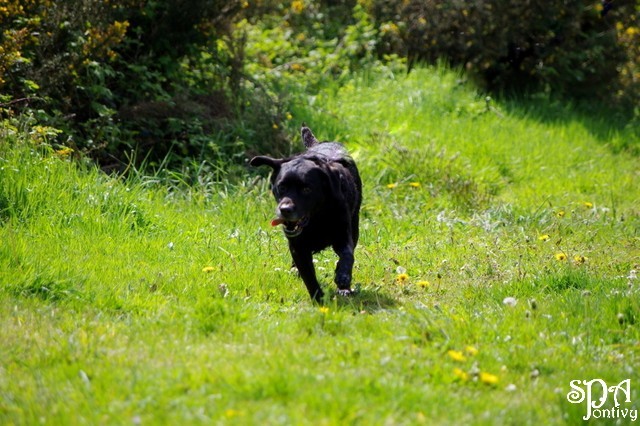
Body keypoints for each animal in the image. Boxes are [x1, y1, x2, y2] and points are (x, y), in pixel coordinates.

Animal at [250, 125, 362, 302]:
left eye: (306, 189)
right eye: (281, 187)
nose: (285, 209)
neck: (316, 220)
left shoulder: (343, 235)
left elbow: (347, 255)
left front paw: (343, 278)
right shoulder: (298, 247)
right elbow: (308, 275)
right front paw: (318, 299)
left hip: (355, 224)